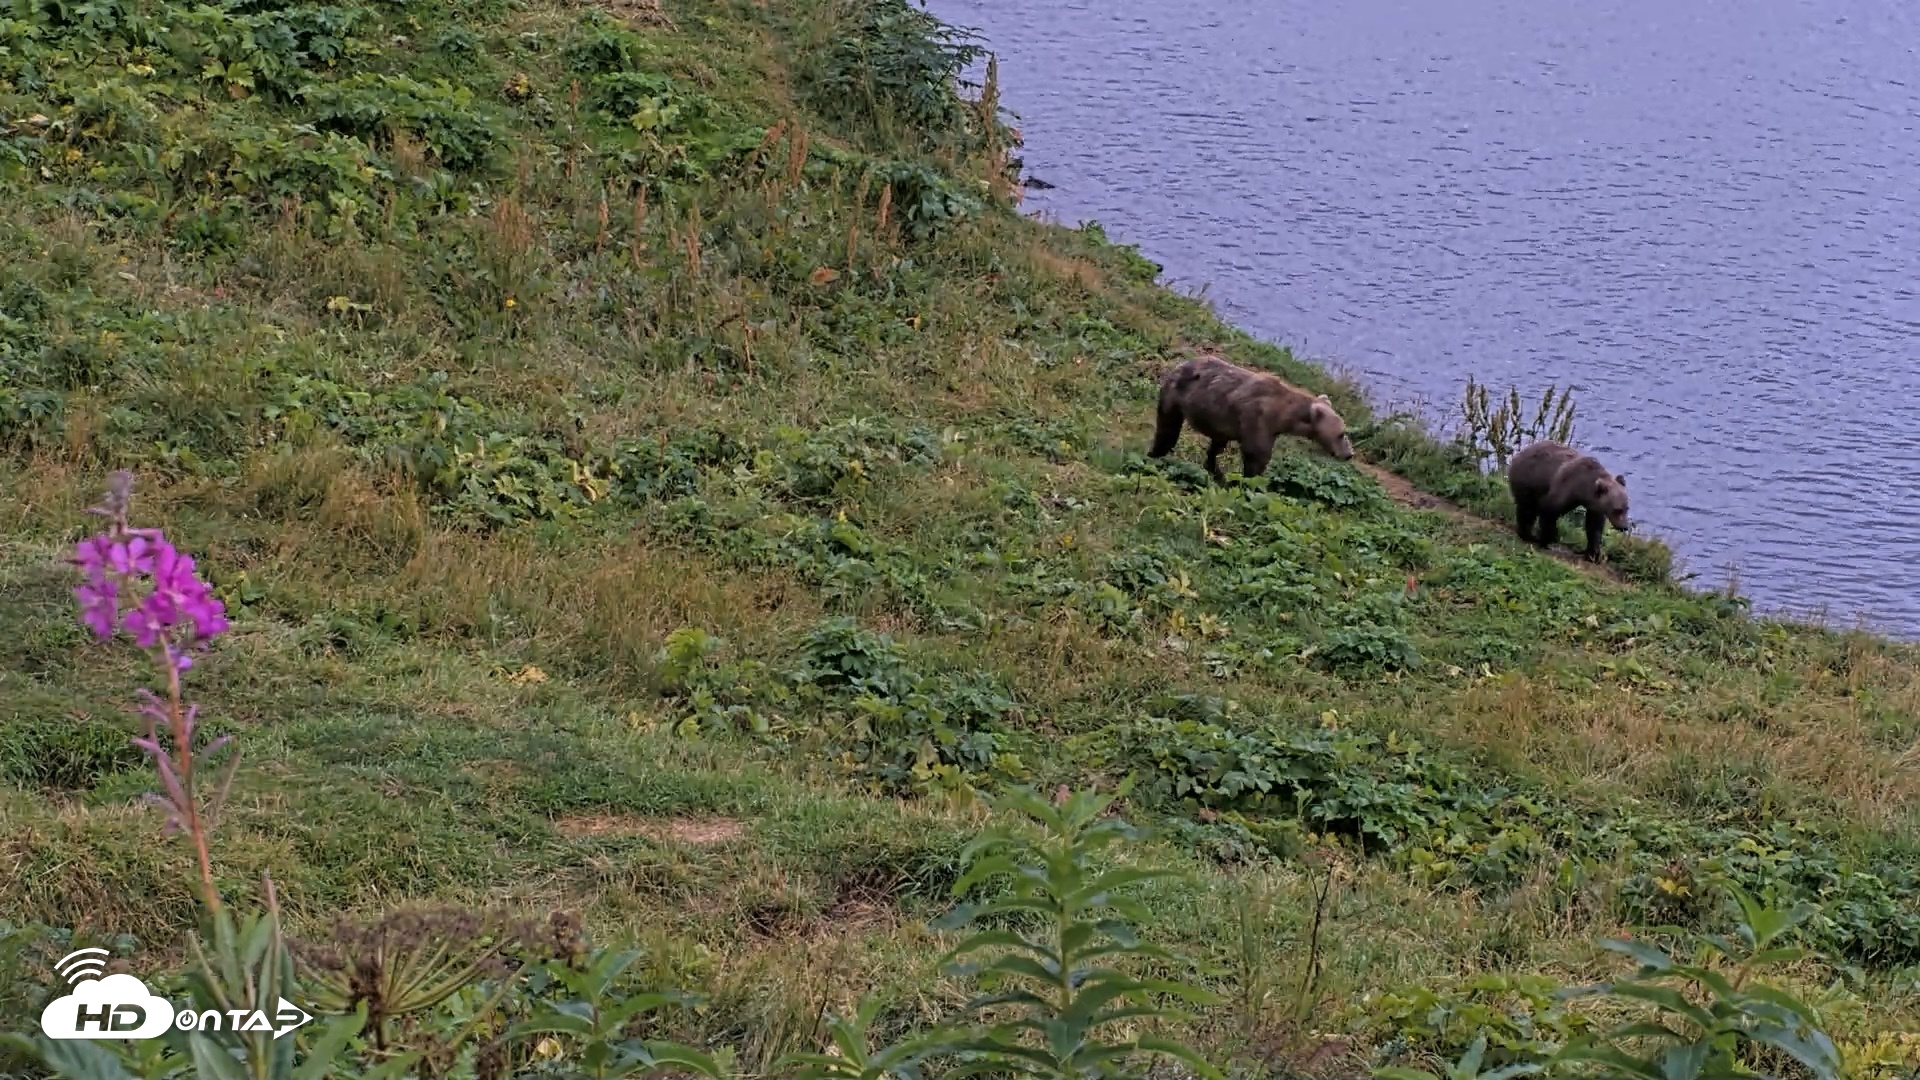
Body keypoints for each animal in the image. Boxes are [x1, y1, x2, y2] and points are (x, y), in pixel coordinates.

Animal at [1147, 353, 1355, 484]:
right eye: (1341, 434)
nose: (1349, 454)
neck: (1283, 415)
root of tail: (1180, 364)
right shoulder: (1258, 419)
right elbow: (1257, 455)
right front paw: (1253, 482)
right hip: (1175, 397)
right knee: (1168, 428)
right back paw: (1156, 453)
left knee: (1215, 445)